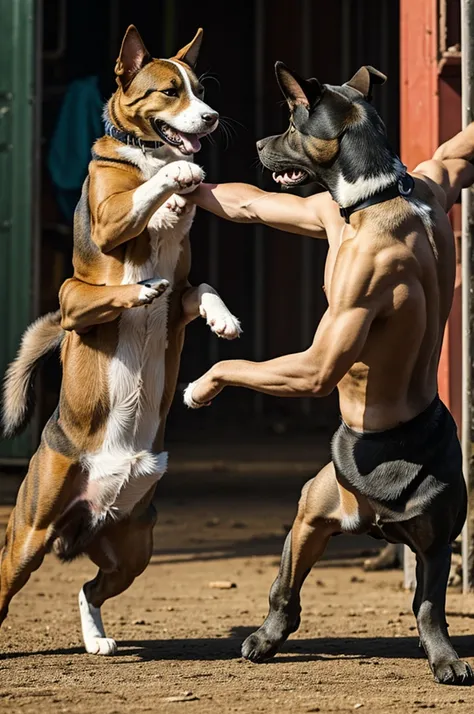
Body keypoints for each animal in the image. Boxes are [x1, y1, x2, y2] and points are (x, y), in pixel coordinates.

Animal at [0, 25, 241, 652]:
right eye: (169, 92)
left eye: (201, 89)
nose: (211, 118)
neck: (147, 153)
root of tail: (83, 520)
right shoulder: (84, 277)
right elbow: (144, 208)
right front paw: (174, 184)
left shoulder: (183, 299)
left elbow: (203, 288)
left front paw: (224, 321)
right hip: (28, 535)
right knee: (7, 586)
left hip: (134, 547)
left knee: (88, 588)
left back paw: (96, 639)